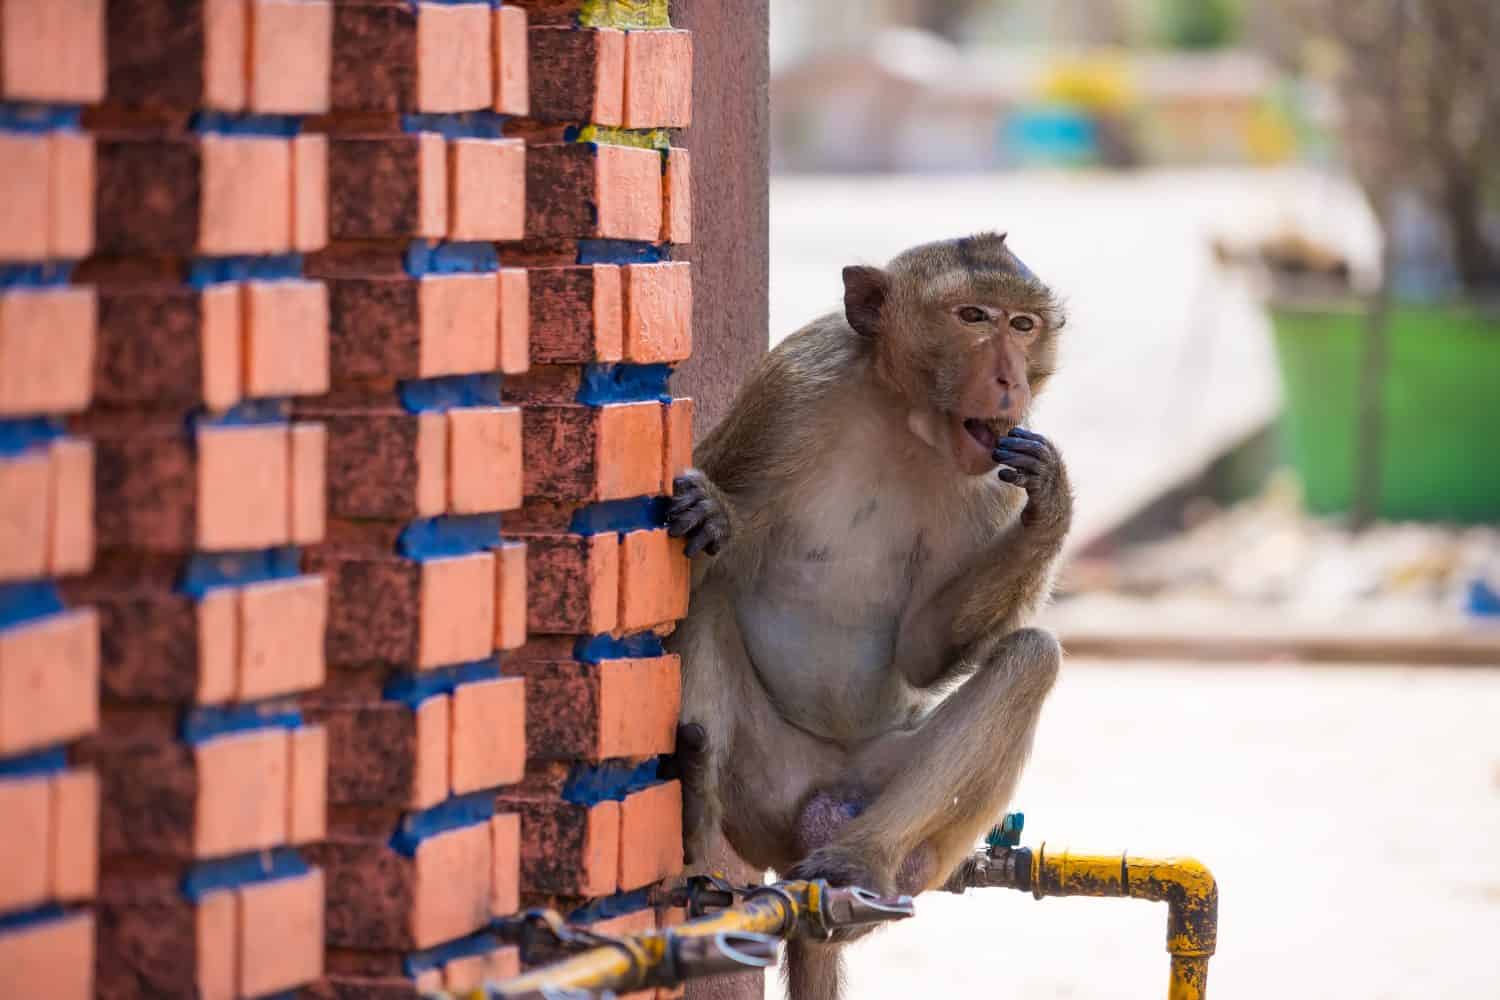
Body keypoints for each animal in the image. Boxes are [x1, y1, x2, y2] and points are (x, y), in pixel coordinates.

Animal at [663, 232, 1071, 1000]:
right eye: (973, 316)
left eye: (1023, 325)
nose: (1011, 382)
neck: (900, 415)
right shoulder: (792, 386)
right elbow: (705, 543)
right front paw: (715, 515)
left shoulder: (993, 479)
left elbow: (921, 650)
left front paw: (1052, 509)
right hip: (763, 793)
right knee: (710, 590)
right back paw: (695, 820)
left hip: (905, 817)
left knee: (1031, 658)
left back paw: (860, 863)